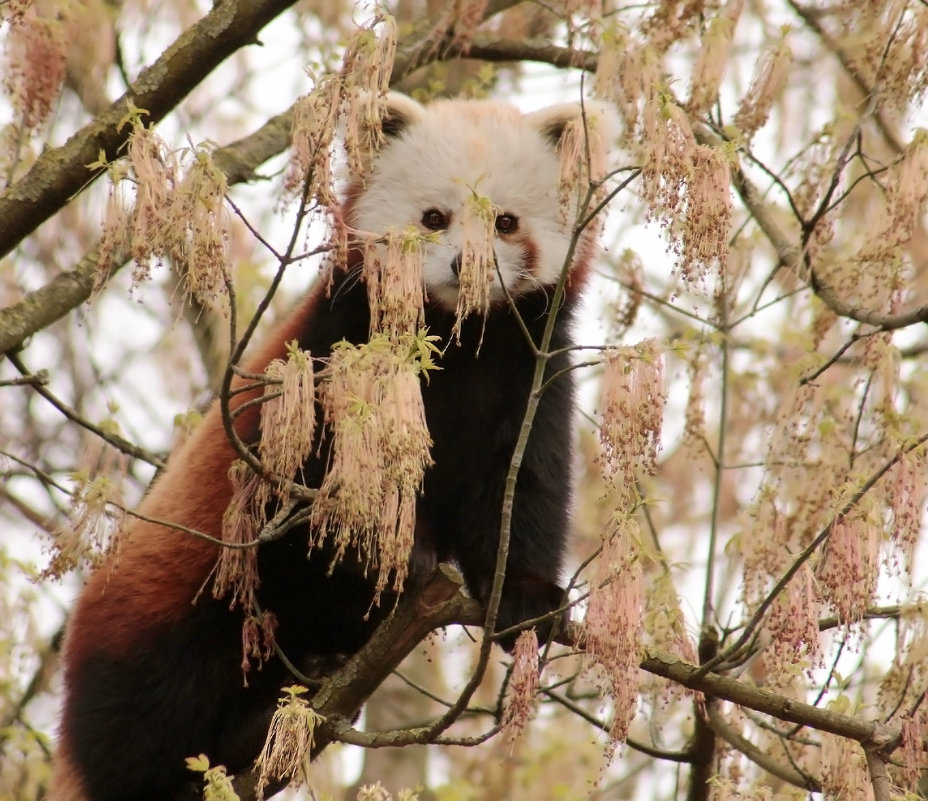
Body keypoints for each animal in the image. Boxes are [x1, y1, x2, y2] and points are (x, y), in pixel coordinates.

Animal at [50, 92, 616, 800]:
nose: (467, 265)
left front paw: (525, 595)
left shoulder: (530, 378)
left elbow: (526, 490)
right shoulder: (328, 364)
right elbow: (323, 495)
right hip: (173, 608)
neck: (456, 346)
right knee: (152, 703)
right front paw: (400, 555)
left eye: (507, 223)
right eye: (435, 218)